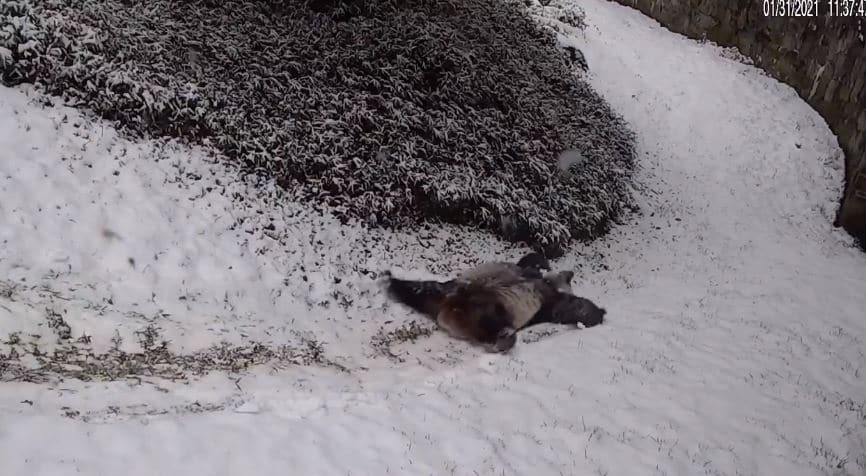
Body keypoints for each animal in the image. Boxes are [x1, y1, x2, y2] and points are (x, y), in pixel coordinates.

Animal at [382, 253, 604, 354]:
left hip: (489, 311)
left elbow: (568, 308)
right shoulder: (534, 281)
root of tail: (448, 310)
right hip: (460, 294)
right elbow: (528, 264)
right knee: (425, 289)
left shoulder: (547, 304)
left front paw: (596, 312)